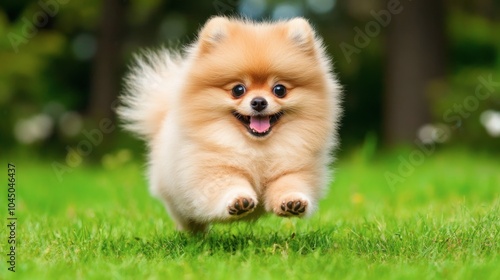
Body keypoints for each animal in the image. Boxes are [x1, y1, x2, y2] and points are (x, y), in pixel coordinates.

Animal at [119, 16, 342, 233]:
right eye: (238, 90)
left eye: (279, 90)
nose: (259, 102)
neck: (257, 148)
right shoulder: (214, 170)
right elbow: (227, 186)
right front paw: (239, 201)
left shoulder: (296, 169)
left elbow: (289, 183)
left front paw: (292, 202)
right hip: (177, 199)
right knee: (187, 217)